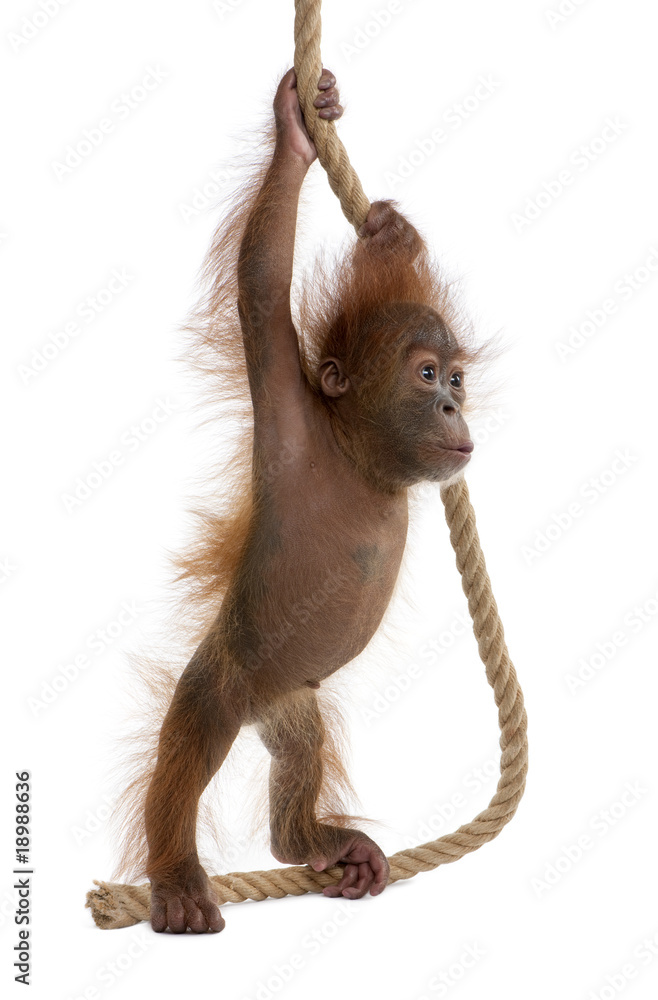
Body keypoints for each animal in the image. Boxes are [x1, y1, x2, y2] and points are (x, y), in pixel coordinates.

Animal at [121, 66, 480, 934]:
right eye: (427, 375)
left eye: (458, 379)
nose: (454, 408)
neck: (362, 461)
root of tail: (259, 700)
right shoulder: (290, 414)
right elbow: (261, 284)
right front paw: (292, 136)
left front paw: (390, 235)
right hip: (226, 673)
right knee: (188, 750)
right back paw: (175, 879)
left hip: (290, 703)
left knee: (300, 750)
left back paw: (313, 842)